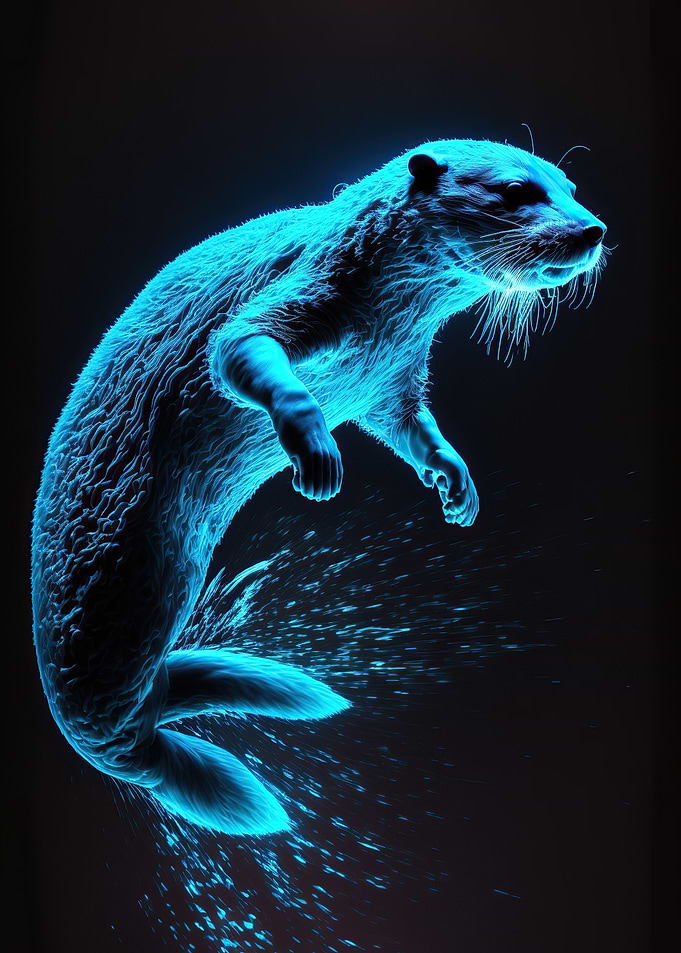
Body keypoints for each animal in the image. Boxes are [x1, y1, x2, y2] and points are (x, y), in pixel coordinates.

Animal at [32, 139, 607, 836]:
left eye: (572, 187)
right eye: (519, 190)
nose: (593, 230)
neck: (386, 314)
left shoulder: (393, 372)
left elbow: (413, 426)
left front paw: (454, 481)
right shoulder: (310, 286)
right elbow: (239, 348)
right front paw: (314, 453)